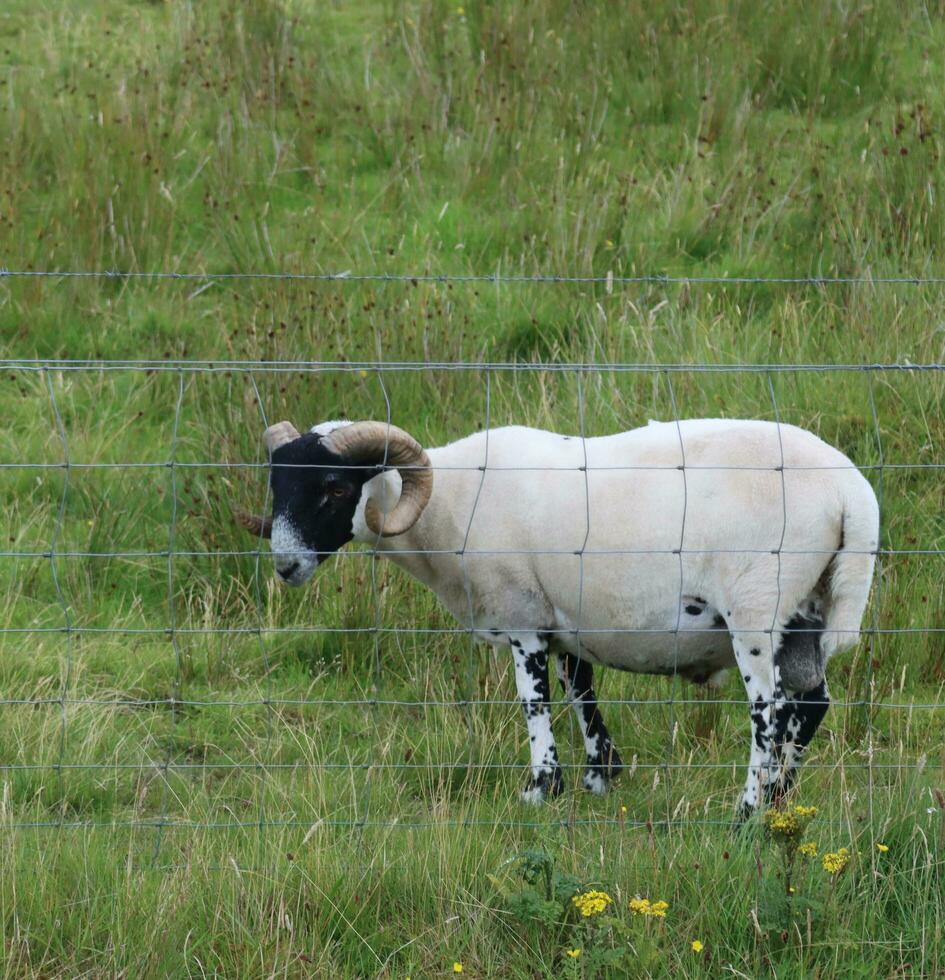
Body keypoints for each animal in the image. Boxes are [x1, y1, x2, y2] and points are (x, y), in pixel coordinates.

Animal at [234, 416, 876, 812]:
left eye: (337, 488)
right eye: (278, 485)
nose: (286, 567)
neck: (446, 509)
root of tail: (851, 494)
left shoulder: (521, 618)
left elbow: (535, 703)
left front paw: (543, 789)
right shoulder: (565, 621)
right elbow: (582, 693)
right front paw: (600, 778)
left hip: (758, 608)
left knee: (770, 715)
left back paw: (746, 816)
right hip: (805, 612)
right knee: (811, 705)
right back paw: (779, 806)